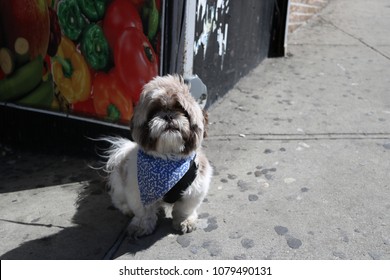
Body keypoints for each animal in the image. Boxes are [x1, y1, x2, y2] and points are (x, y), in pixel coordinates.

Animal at [103, 75, 212, 238]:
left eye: (182, 110)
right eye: (154, 111)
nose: (168, 115)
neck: (168, 157)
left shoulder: (195, 188)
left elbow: (184, 209)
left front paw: (185, 221)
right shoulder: (137, 190)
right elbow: (143, 212)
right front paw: (141, 225)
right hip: (120, 184)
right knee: (118, 199)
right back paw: (126, 208)